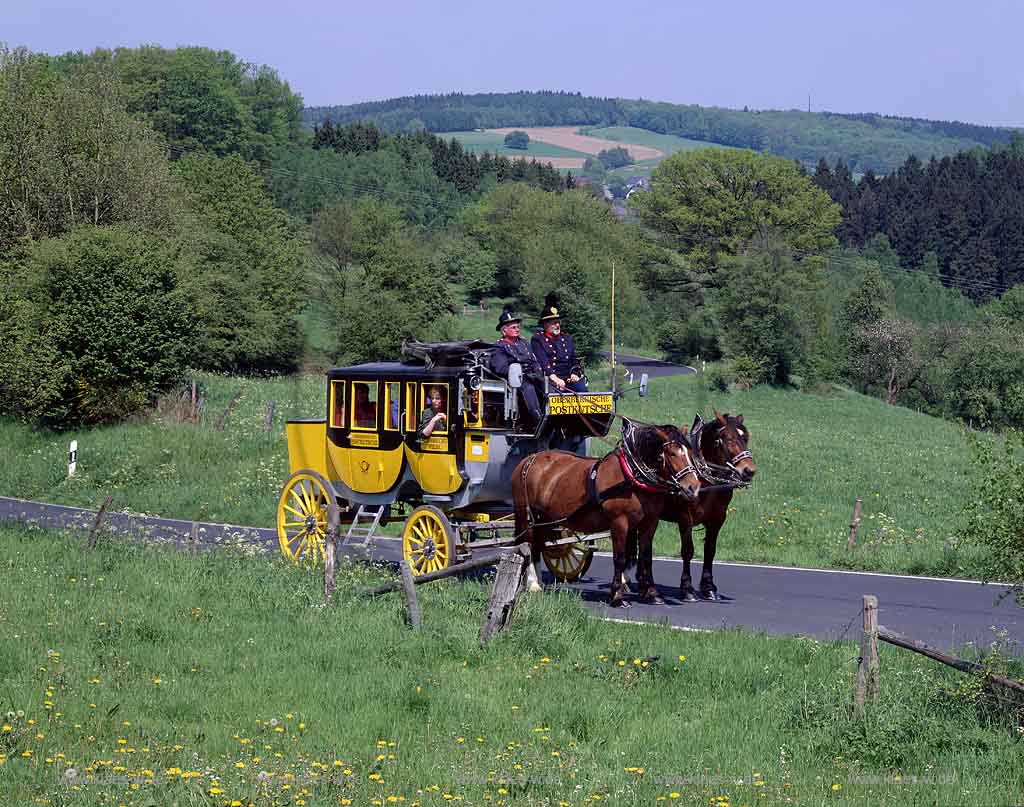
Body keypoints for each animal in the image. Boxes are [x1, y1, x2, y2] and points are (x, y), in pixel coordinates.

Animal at [512, 421, 704, 606]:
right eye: (672, 453)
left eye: (690, 452)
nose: (693, 487)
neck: (633, 475)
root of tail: (528, 460)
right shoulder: (619, 522)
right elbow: (619, 558)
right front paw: (618, 596)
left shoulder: (650, 522)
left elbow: (646, 557)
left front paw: (652, 594)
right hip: (527, 515)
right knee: (529, 544)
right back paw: (533, 584)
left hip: (544, 518)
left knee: (538, 544)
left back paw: (538, 582)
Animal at [659, 413, 757, 602]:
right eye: (727, 438)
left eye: (746, 437)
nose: (749, 471)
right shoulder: (685, 518)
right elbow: (688, 551)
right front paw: (687, 589)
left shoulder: (717, 519)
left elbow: (710, 550)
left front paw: (709, 588)